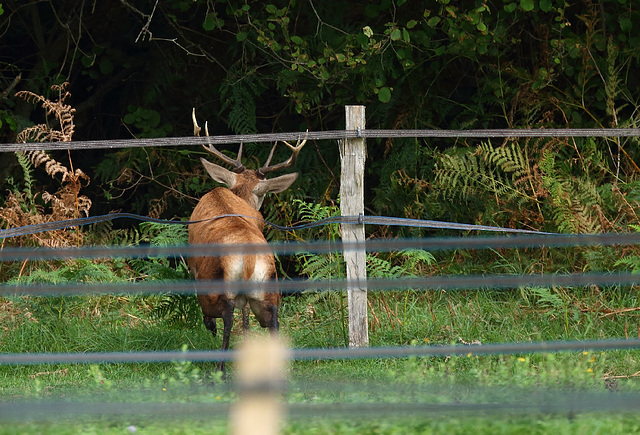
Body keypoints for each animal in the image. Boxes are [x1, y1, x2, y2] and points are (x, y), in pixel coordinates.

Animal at [188, 109, 308, 374]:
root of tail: (250, 256)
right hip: (268, 284)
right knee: (272, 319)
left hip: (216, 283)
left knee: (226, 315)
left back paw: (221, 368)